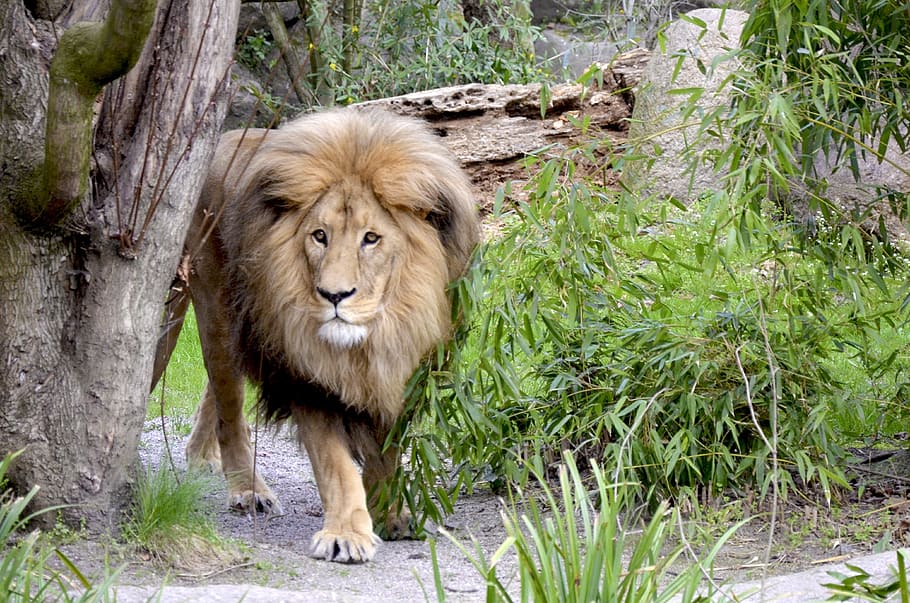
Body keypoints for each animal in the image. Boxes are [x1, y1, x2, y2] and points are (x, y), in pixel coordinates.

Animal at [151, 107, 480, 563]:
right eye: (319, 236)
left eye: (371, 239)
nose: (334, 295)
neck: (374, 338)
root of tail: (220, 143)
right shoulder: (307, 378)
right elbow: (336, 466)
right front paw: (346, 534)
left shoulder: (403, 372)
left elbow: (387, 455)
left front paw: (391, 516)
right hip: (216, 309)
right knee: (228, 402)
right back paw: (247, 488)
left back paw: (200, 455)